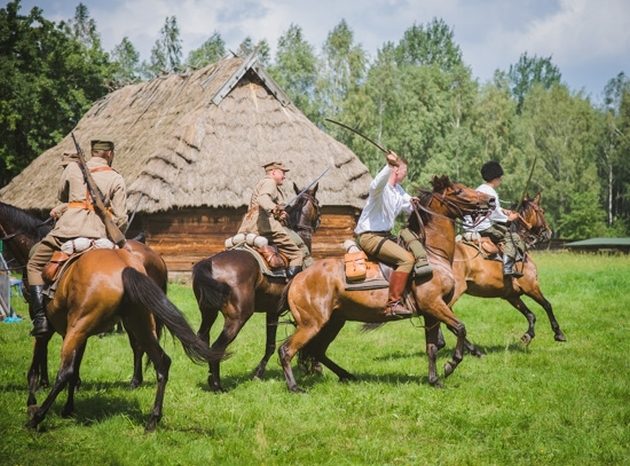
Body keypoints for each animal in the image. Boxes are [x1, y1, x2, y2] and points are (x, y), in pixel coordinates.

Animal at [0, 202, 168, 388]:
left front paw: (44, 381)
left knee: (137, 344)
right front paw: (71, 380)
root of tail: (157, 258)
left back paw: (135, 380)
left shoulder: (42, 311)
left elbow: (44, 341)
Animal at [193, 184, 320, 392]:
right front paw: (313, 366)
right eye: (317, 203)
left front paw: (258, 373)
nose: (319, 220)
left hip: (208, 314)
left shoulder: (273, 312)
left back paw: (212, 380)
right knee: (217, 348)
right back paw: (218, 386)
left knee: (205, 341)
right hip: (237, 318)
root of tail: (208, 264)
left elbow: (270, 344)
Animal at [278, 175, 496, 390]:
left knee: (317, 351)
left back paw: (347, 375)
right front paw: (450, 365)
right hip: (312, 324)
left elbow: (433, 347)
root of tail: (298, 278)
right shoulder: (434, 305)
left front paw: (434, 380)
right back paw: (294, 387)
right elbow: (460, 328)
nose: (491, 201)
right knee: (286, 350)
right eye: (458, 191)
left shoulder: (431, 313)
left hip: (334, 322)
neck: (433, 254)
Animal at [452, 191, 572, 348]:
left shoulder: (511, 295)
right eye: (542, 211)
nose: (548, 233)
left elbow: (530, 315)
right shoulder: (531, 287)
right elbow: (547, 305)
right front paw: (558, 333)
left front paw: (527, 336)